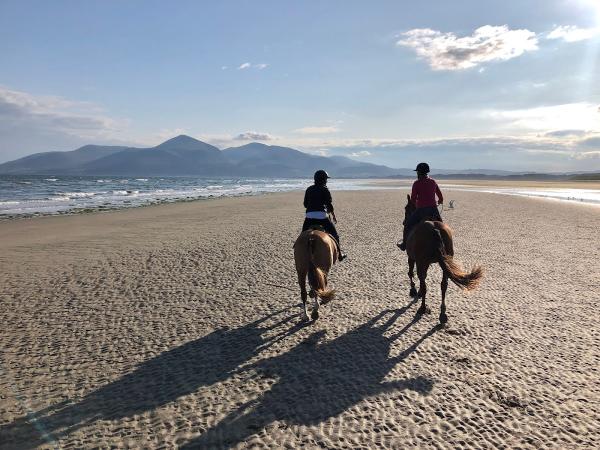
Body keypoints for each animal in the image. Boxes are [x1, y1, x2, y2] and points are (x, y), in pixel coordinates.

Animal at [404, 194, 482, 324]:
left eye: (406, 208)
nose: (404, 222)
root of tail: (435, 229)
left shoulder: (412, 257)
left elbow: (410, 273)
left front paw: (413, 290)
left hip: (422, 262)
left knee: (424, 284)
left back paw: (422, 308)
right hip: (445, 262)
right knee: (443, 285)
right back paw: (443, 313)